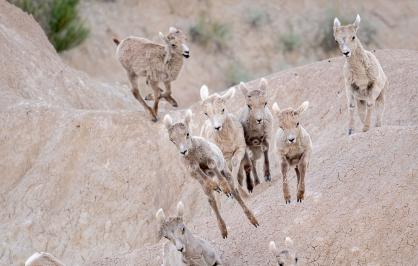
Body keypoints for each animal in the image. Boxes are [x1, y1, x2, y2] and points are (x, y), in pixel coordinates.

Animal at [163, 109, 258, 238]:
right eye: (172, 140)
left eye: (187, 134)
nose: (183, 152)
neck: (195, 156)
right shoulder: (194, 171)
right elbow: (202, 175)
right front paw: (215, 186)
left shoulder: (212, 159)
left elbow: (213, 167)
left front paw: (224, 188)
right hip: (205, 188)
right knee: (211, 200)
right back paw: (223, 230)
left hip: (226, 172)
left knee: (235, 192)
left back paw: (252, 219)